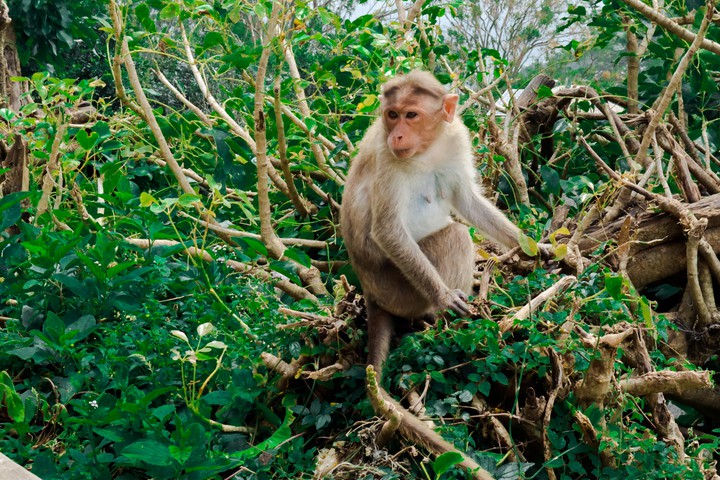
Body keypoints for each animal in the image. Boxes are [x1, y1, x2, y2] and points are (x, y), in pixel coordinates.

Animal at [340, 70, 525, 480]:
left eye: (411, 115)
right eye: (391, 115)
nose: (397, 135)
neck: (428, 148)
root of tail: (370, 293)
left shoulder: (455, 139)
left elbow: (465, 199)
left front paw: (534, 246)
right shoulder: (386, 159)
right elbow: (388, 232)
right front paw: (445, 298)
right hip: (399, 291)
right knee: (455, 235)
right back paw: (440, 318)